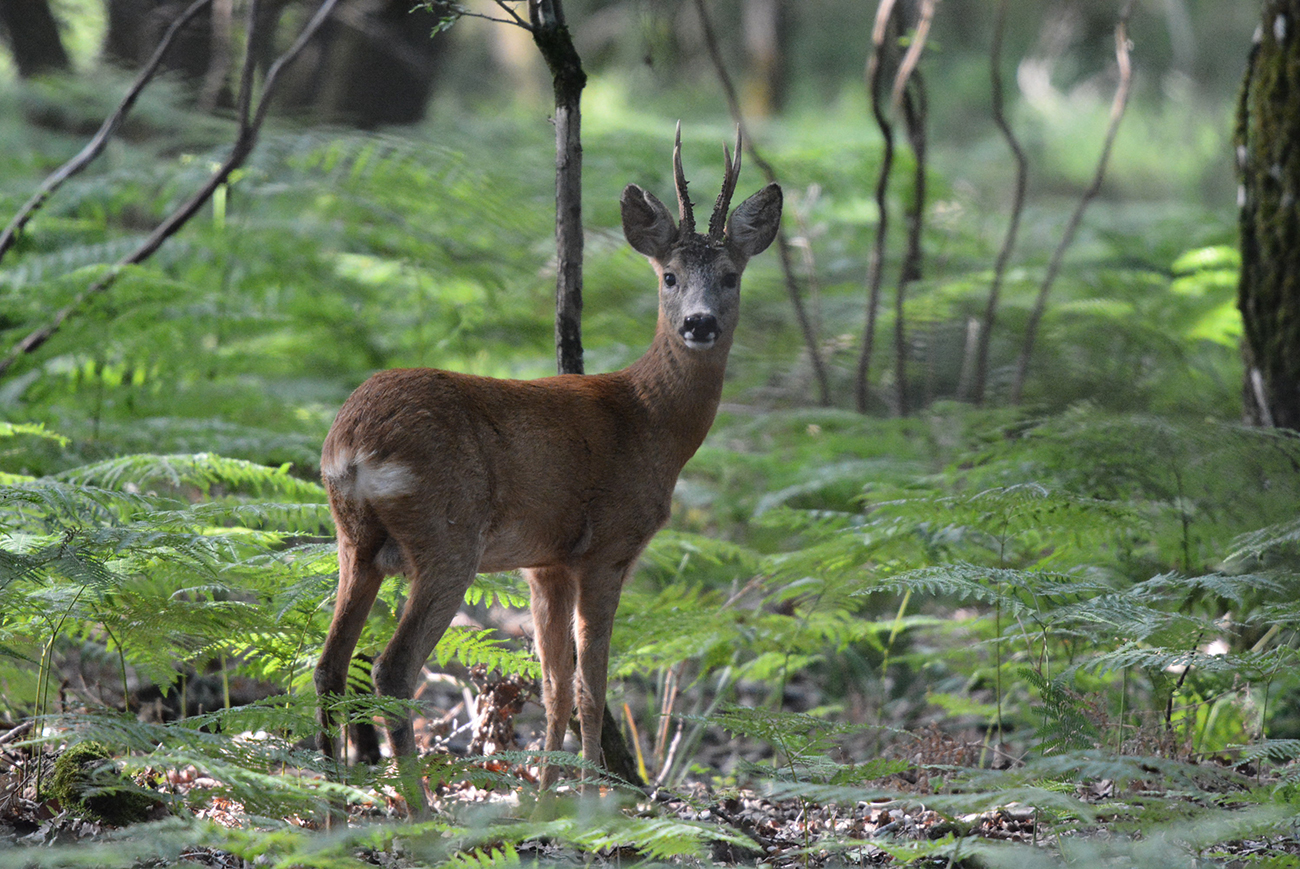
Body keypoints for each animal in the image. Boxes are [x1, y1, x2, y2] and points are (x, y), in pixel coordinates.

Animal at [314, 125, 780, 796]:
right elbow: (591, 687)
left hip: (353, 539)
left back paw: (328, 797)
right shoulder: (607, 548)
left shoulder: (545, 563)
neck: (648, 420)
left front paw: (541, 798)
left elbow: (555, 685)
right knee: (391, 670)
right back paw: (420, 806)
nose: (699, 323)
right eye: (668, 276)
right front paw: (588, 797)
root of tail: (351, 442)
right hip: (446, 535)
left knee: (328, 664)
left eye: (731, 276)